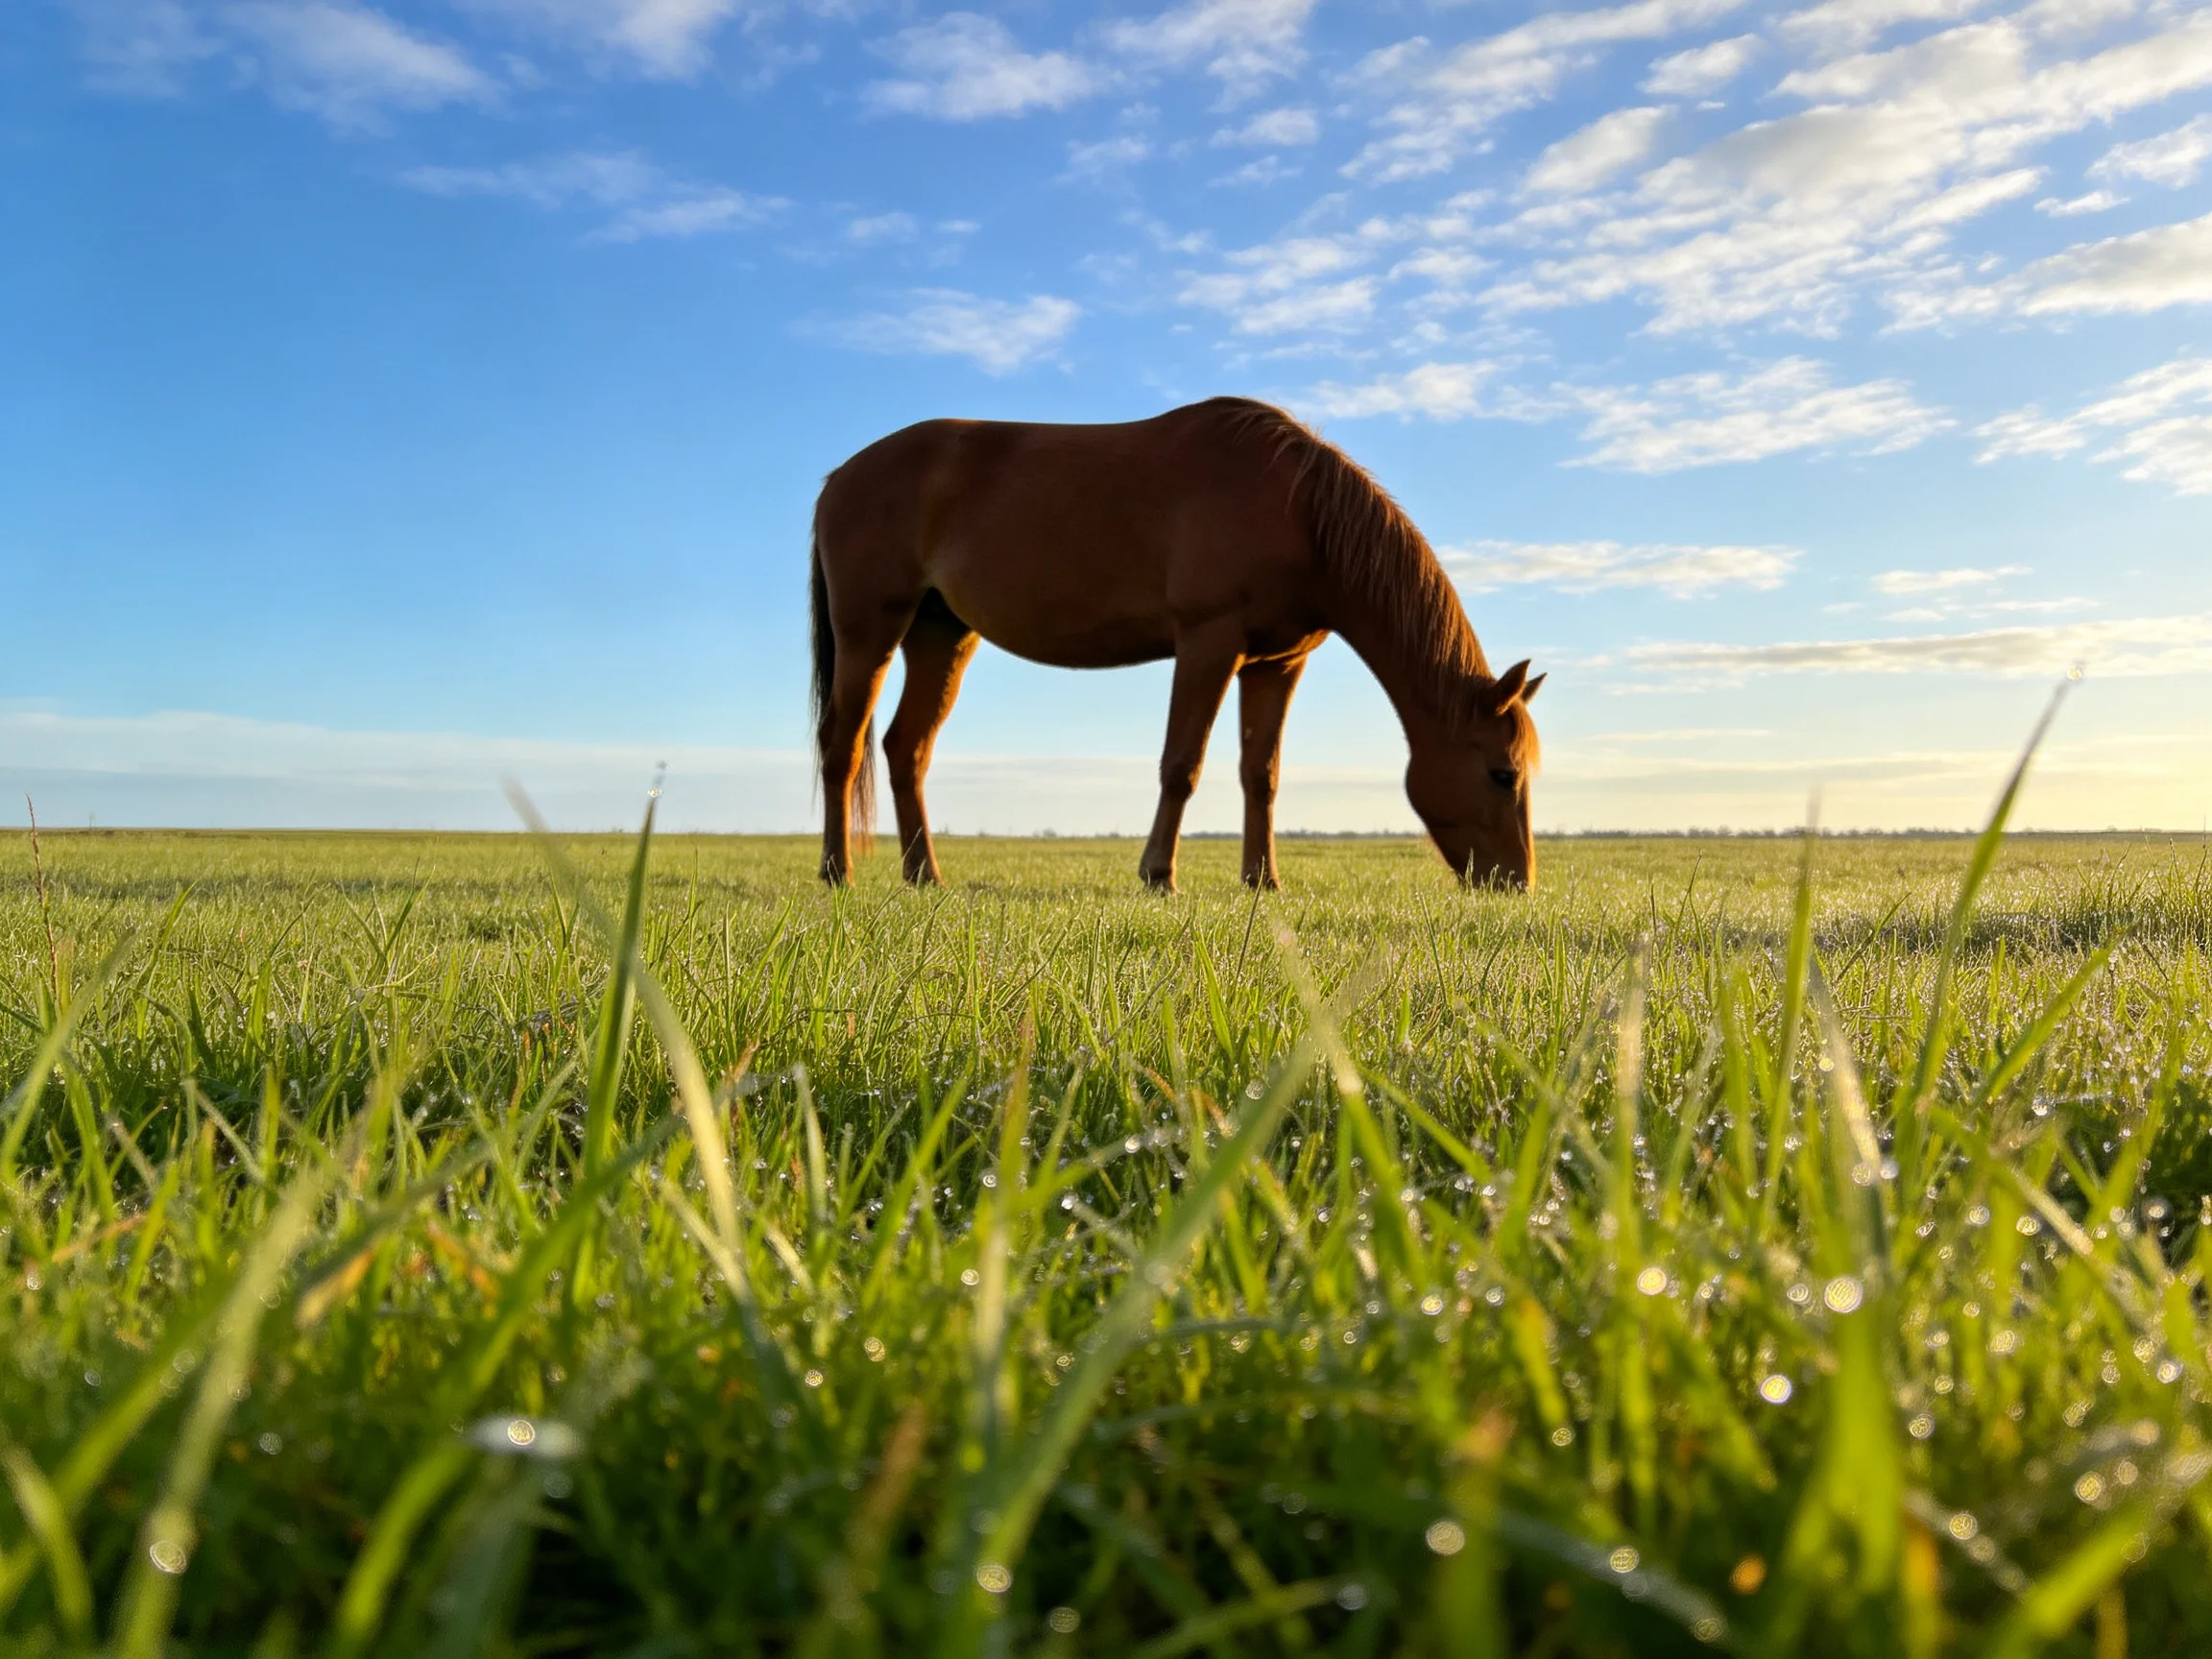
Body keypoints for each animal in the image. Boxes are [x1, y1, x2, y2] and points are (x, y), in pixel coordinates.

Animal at [807, 396, 1543, 893]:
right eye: (1501, 774)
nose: (1518, 883)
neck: (1300, 512)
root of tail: (840, 476)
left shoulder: (1277, 665)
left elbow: (1261, 774)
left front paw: (1262, 882)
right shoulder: (1208, 642)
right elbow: (1181, 765)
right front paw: (1158, 874)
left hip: (942, 636)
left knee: (905, 748)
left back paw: (923, 875)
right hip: (870, 630)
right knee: (843, 745)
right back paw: (837, 872)